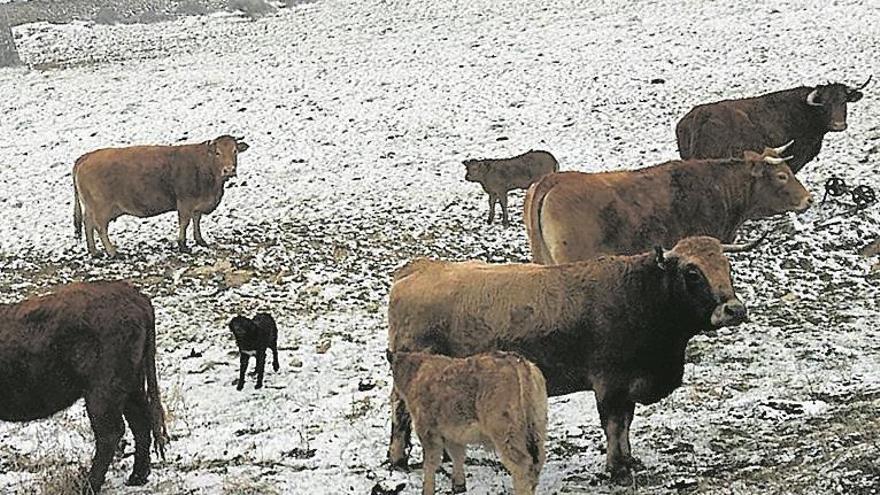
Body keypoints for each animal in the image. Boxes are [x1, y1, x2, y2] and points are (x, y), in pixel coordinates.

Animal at [0, 280, 168, 494]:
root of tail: (135, 296)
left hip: (102, 392)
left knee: (111, 433)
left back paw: (88, 485)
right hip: (130, 387)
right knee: (140, 421)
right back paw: (137, 477)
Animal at [71, 136, 251, 260]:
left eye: (235, 151)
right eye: (218, 153)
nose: (229, 170)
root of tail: (86, 156)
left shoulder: (198, 203)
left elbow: (196, 220)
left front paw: (200, 240)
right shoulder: (185, 202)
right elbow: (184, 222)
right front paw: (182, 244)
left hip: (90, 206)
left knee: (88, 224)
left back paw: (94, 251)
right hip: (101, 207)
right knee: (100, 227)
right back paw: (112, 252)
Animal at [388, 350, 548, 494]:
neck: (416, 373)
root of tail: (517, 361)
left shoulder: (428, 432)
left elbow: (430, 463)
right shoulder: (452, 434)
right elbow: (457, 455)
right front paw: (459, 485)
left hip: (506, 434)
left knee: (522, 464)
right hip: (537, 429)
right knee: (536, 463)